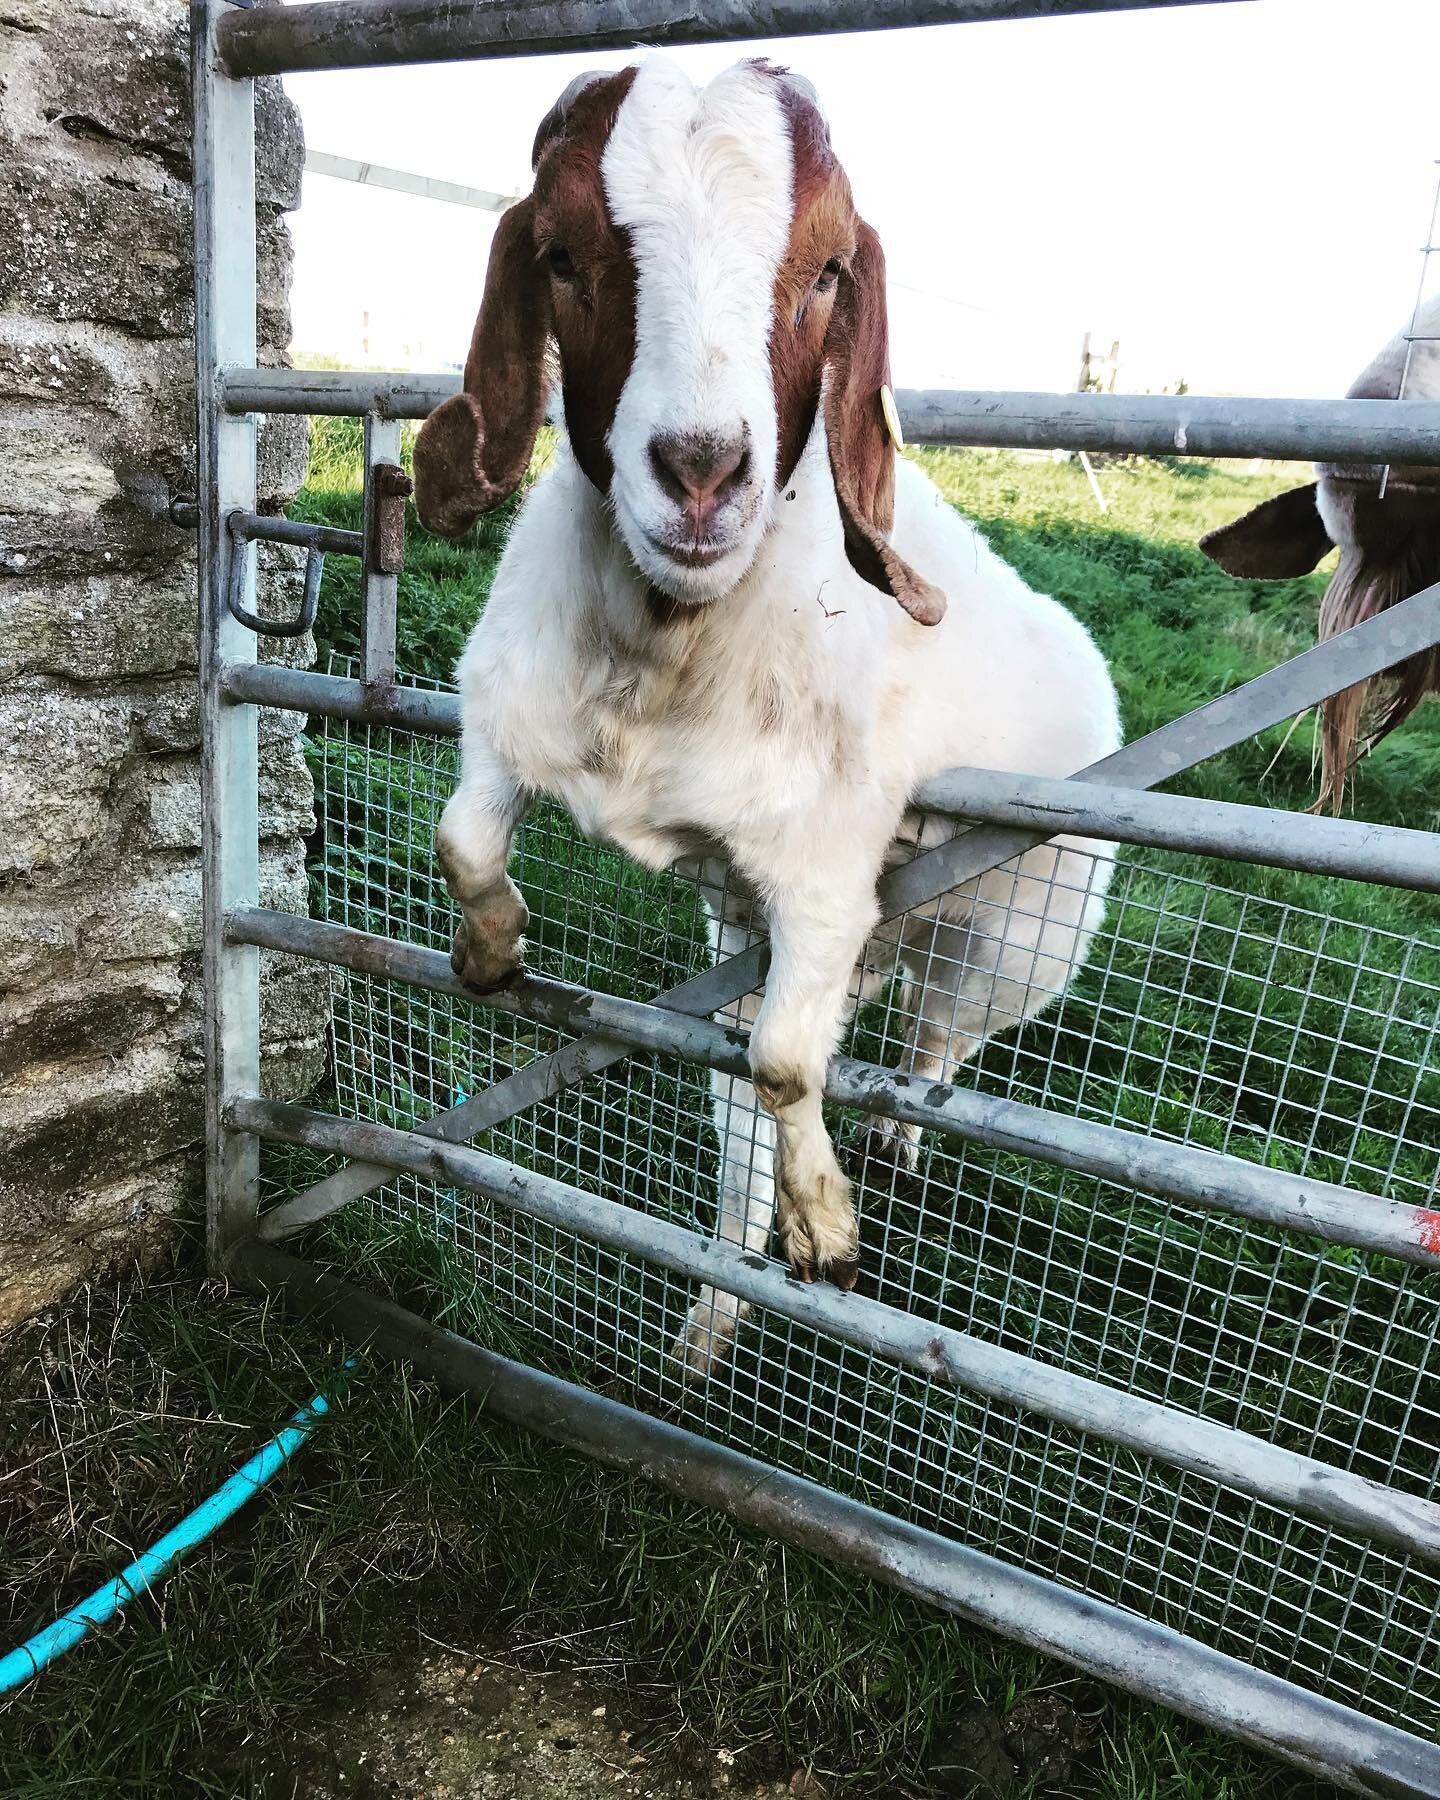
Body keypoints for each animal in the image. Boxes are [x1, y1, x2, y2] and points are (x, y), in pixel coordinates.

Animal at [410, 59, 1116, 1375]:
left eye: (830, 267)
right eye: (562, 253)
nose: (699, 470)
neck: (667, 655)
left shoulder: (828, 874)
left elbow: (793, 1064)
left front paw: (827, 1231)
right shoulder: (503, 729)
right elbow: (463, 840)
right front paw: (491, 951)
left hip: (1016, 937)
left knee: (943, 1034)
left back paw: (894, 1137)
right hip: (743, 939)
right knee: (752, 1089)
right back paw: (714, 1307)